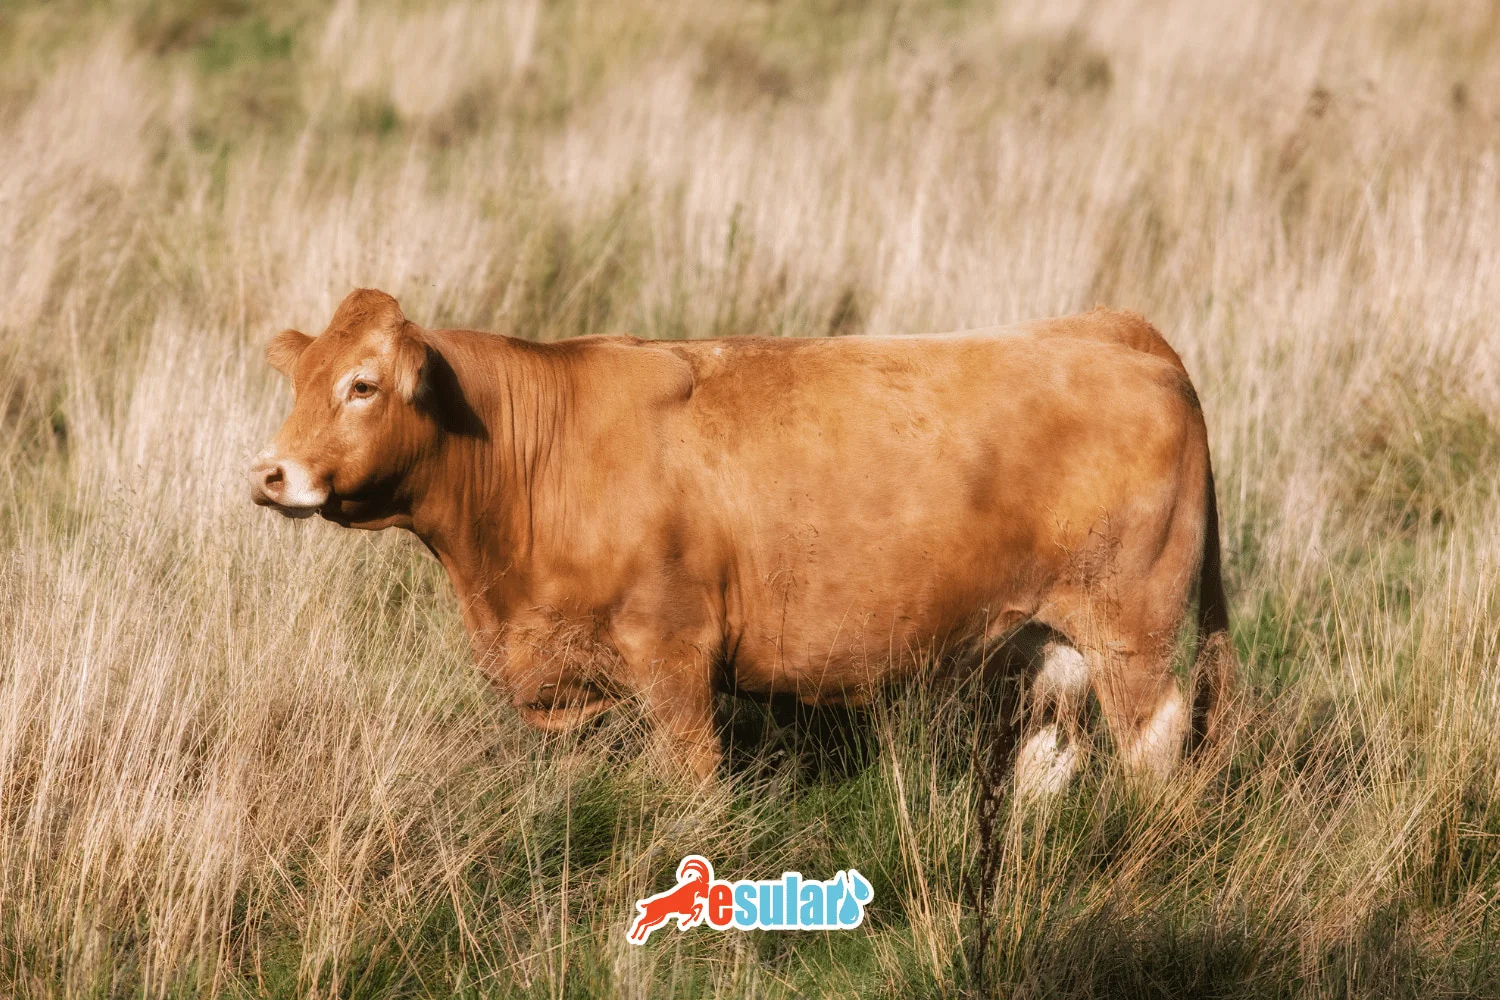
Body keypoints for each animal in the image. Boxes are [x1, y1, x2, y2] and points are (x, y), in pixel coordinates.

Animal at [249, 288, 1235, 790]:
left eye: (364, 385)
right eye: (297, 382)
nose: (272, 474)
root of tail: (1115, 331)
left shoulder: (674, 655)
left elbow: (694, 784)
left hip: (1134, 631)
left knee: (1155, 748)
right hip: (1046, 638)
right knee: (1050, 752)